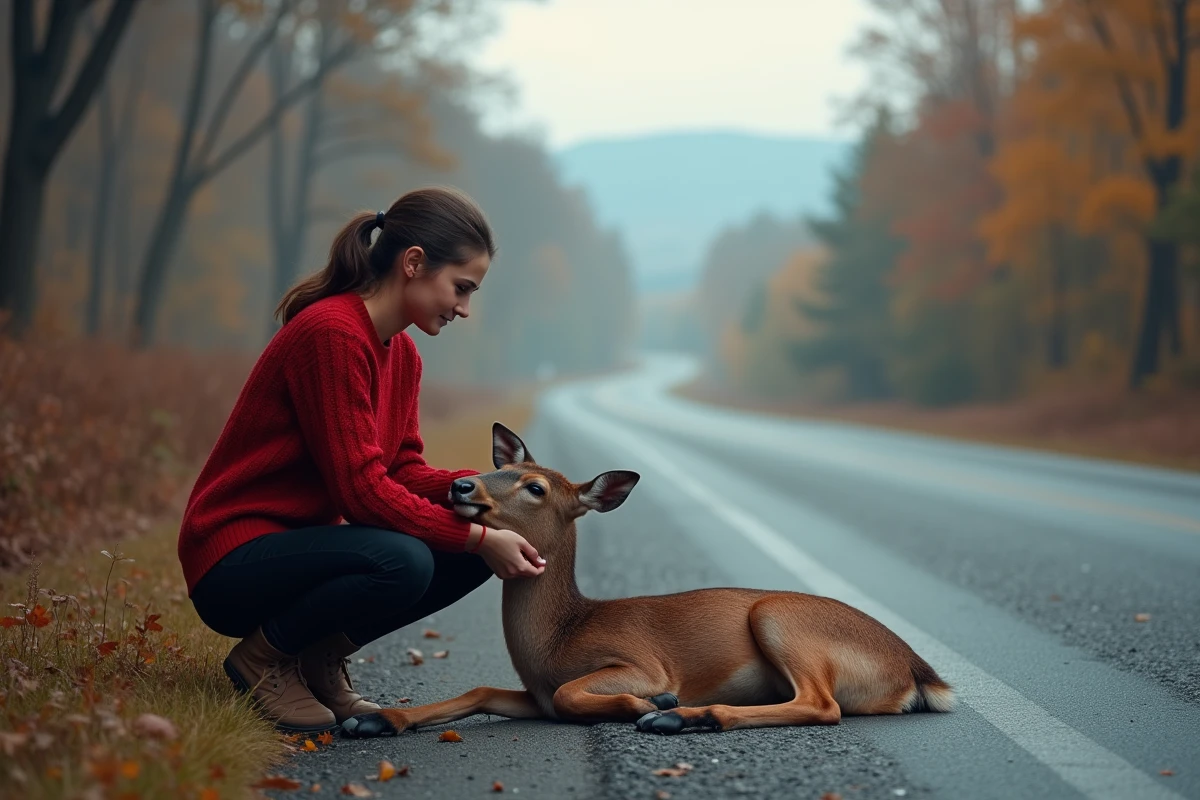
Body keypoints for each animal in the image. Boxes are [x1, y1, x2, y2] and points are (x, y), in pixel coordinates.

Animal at [340, 423, 955, 738]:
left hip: (779, 616)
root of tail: (917, 673)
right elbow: (481, 690)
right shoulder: (532, 695)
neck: (554, 641)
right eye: (501, 467)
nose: (462, 485)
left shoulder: (638, 661)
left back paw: (681, 715)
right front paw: (374, 720)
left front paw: (647, 703)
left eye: (536, 487)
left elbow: (572, 692)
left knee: (823, 705)